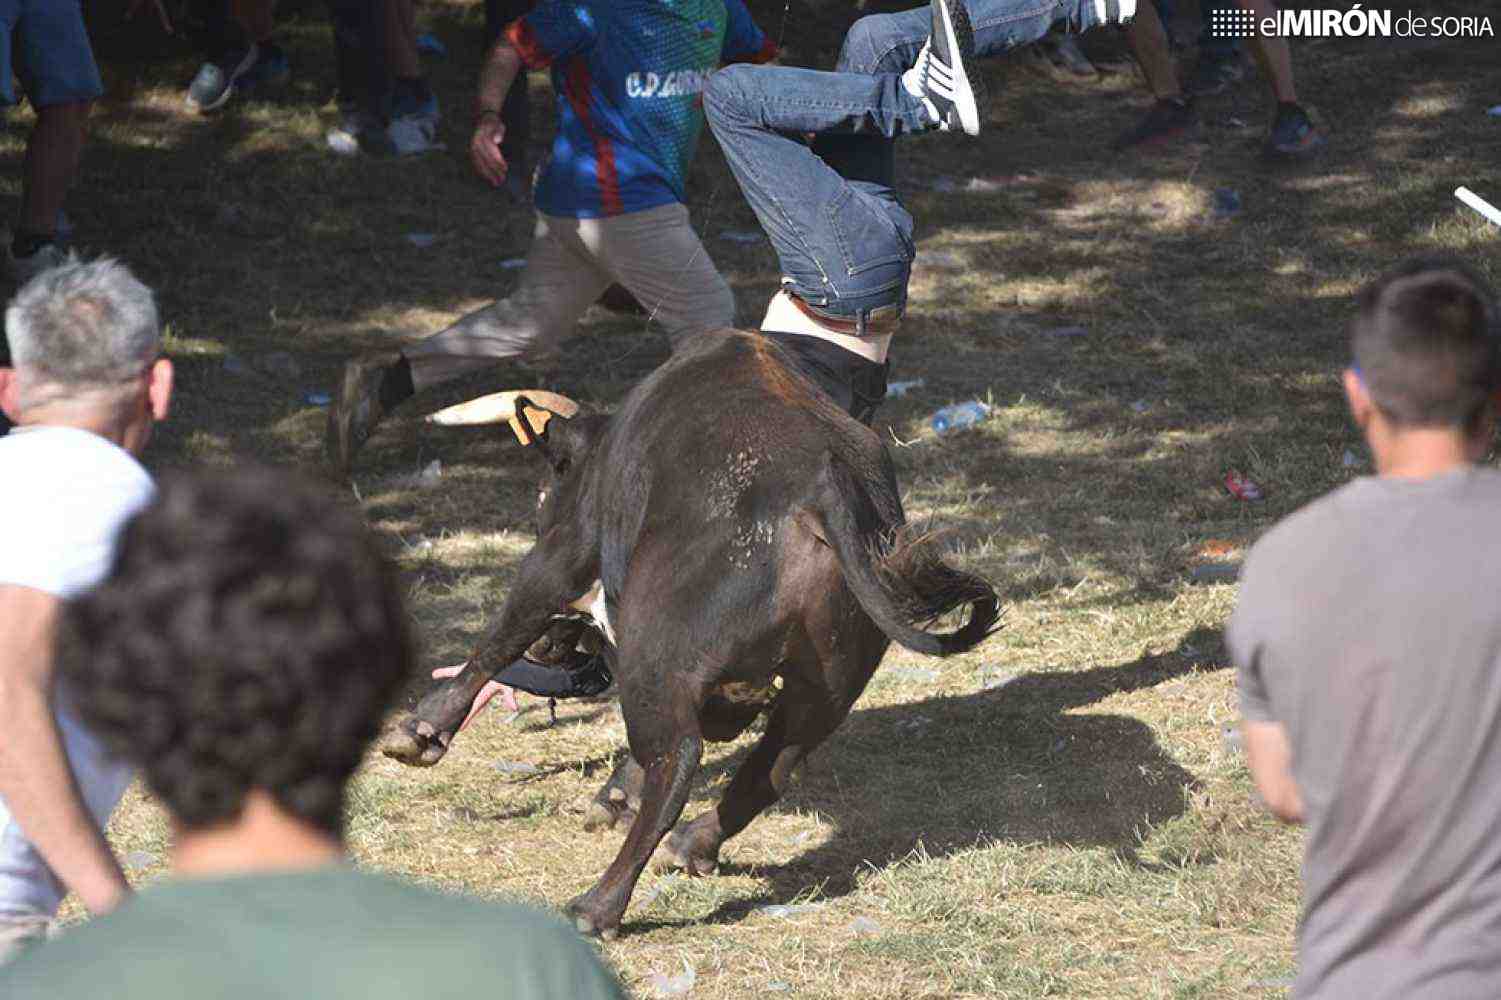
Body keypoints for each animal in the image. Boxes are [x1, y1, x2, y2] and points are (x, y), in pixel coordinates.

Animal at [381, 328, 1002, 936]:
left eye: (543, 499)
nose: (547, 649)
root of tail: (821, 491)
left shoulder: (561, 555)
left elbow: (499, 634)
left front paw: (420, 730)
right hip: (825, 686)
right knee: (768, 769)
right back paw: (691, 844)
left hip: (657, 659)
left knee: (677, 757)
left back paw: (597, 906)